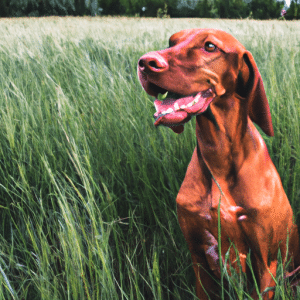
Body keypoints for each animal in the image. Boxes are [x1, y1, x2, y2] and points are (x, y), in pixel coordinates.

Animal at [138, 28, 300, 300]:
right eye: (172, 42)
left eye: (210, 46)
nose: (144, 62)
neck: (219, 157)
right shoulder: (199, 258)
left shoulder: (265, 263)